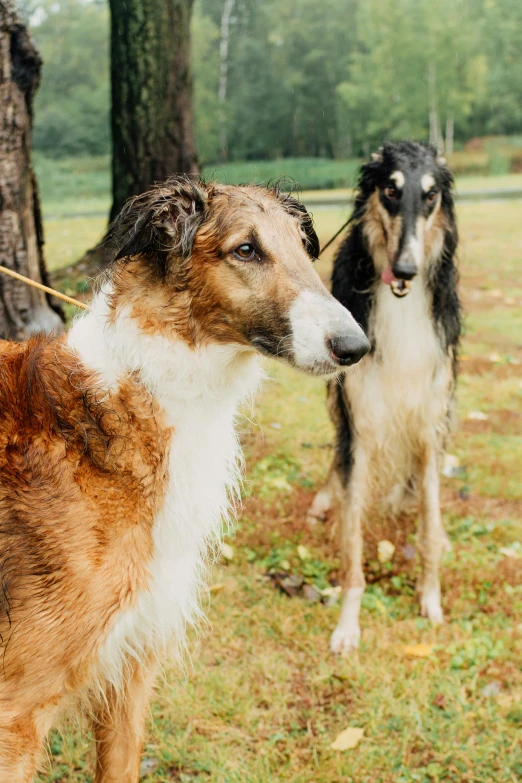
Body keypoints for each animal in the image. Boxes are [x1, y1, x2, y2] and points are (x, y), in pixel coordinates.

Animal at [308, 142, 460, 656]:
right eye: (390, 190)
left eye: (430, 195)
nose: (407, 270)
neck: (401, 303)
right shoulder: (361, 420)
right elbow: (353, 539)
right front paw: (347, 625)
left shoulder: (429, 419)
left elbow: (430, 523)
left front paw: (430, 598)